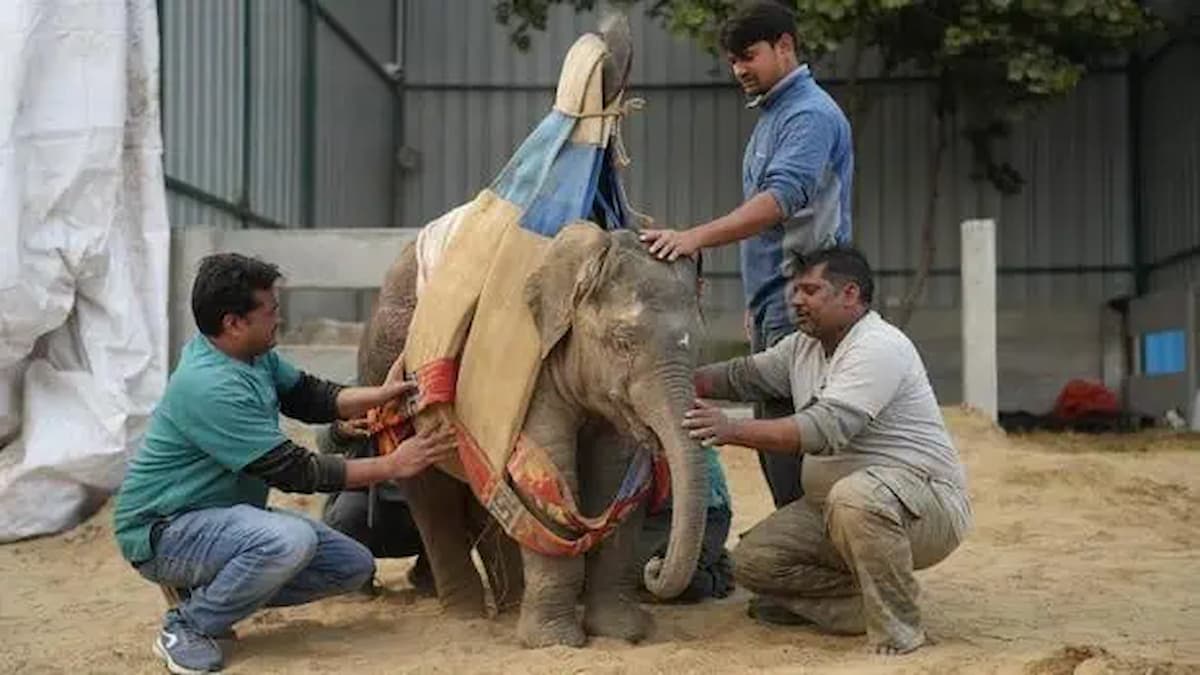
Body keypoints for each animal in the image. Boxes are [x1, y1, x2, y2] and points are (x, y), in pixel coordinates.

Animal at [340, 222, 710, 648]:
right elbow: (548, 477)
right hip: (385, 372)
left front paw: (622, 634)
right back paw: (466, 618)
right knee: (432, 500)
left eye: (700, 343)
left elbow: (612, 474)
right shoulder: (530, 369)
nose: (655, 565)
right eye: (623, 342)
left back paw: (510, 606)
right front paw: (556, 642)